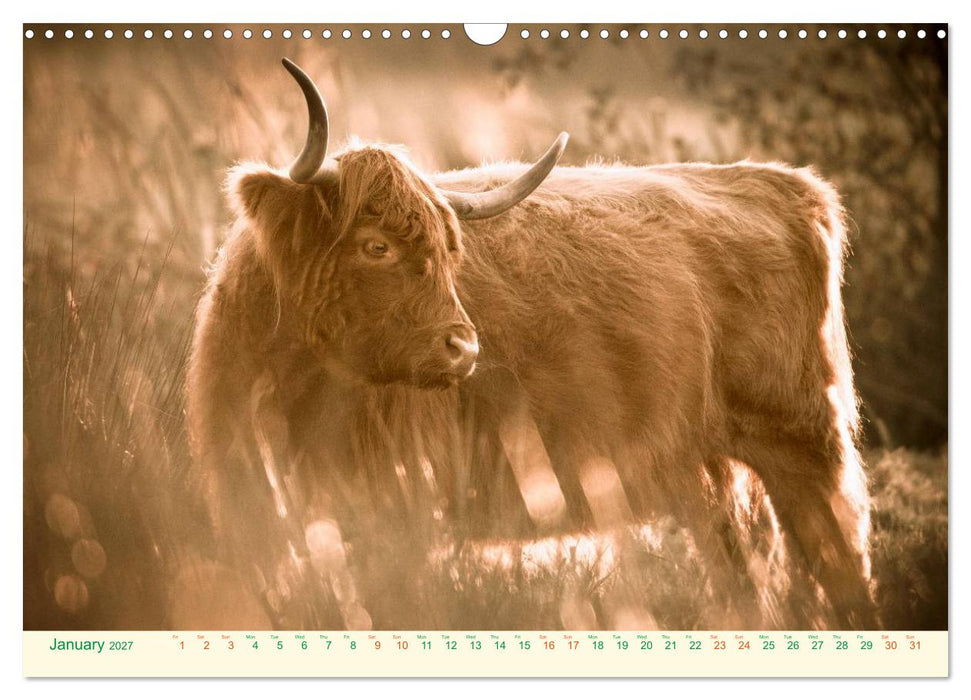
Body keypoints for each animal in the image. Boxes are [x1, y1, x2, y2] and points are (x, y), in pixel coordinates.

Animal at [186, 58, 876, 629]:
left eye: (449, 252)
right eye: (374, 245)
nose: (464, 349)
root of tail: (785, 183)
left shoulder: (401, 504)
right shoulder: (250, 503)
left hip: (803, 441)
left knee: (839, 558)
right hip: (710, 467)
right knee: (742, 572)